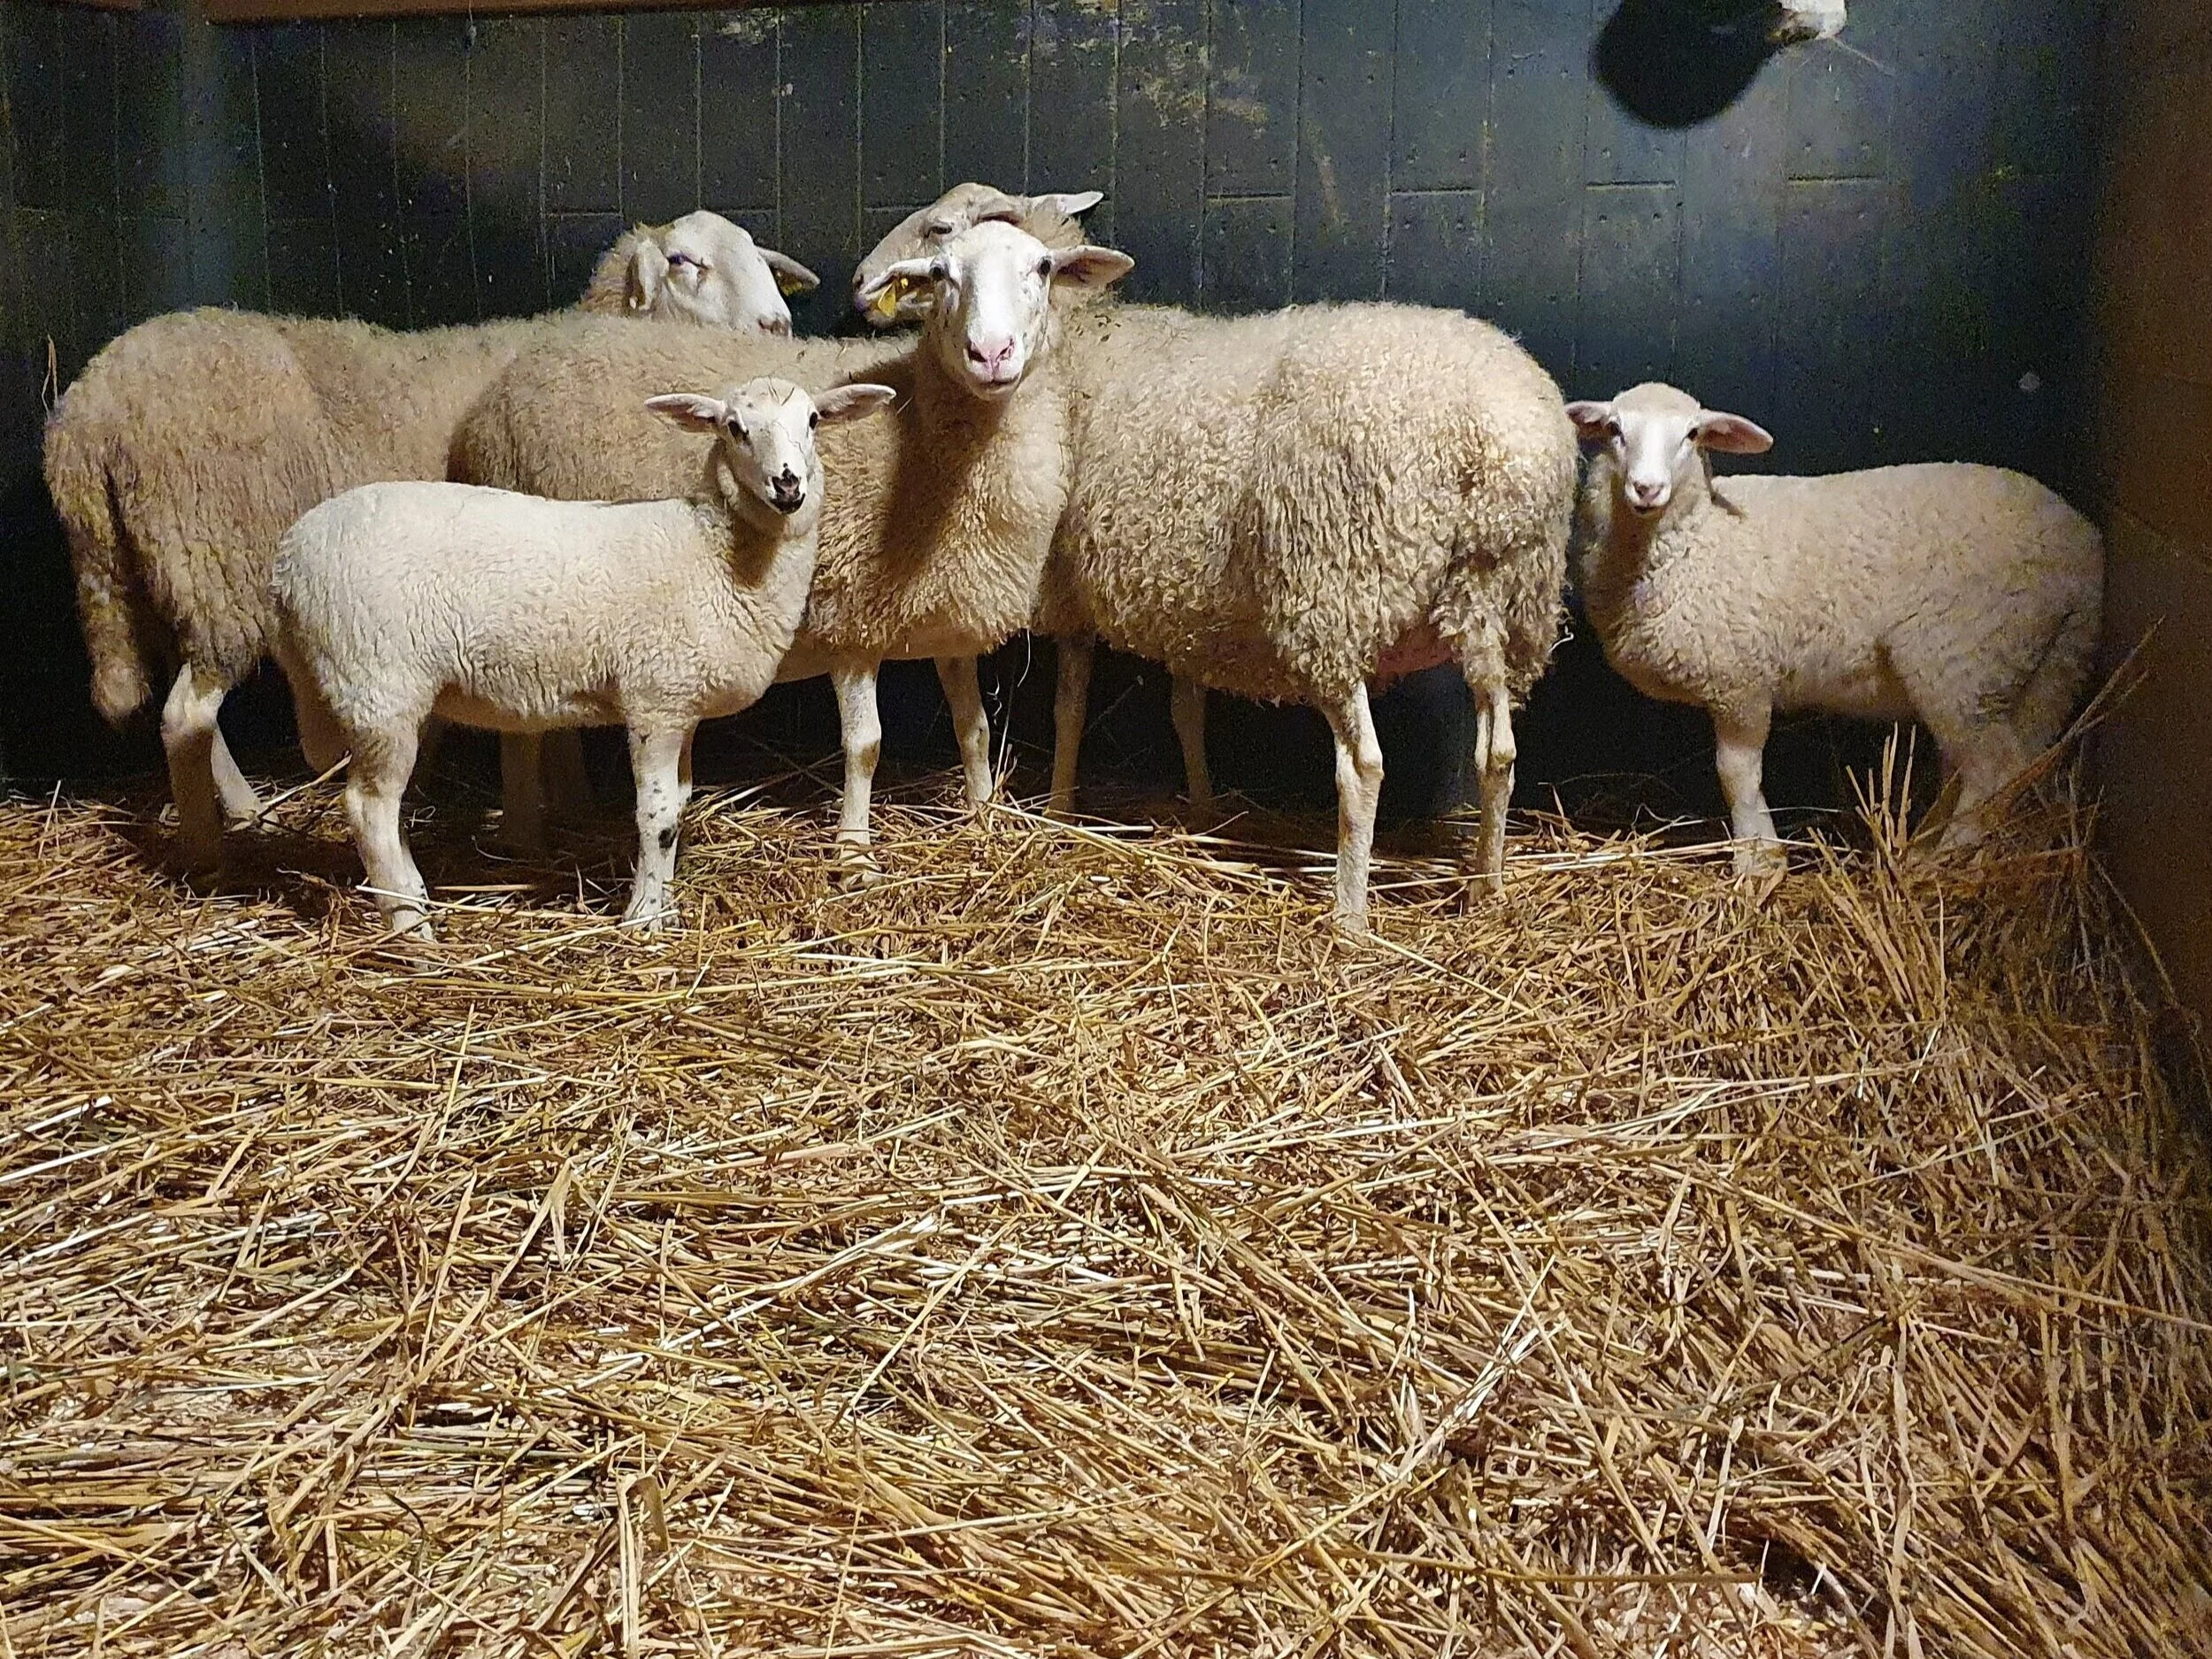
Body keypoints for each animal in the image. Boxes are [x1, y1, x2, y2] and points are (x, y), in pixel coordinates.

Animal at [46, 209, 818, 875]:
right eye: (686, 262)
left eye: (759, 256)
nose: (777, 324)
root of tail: (81, 417)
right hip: (219, 561)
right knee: (186, 714)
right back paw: (212, 848)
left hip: (165, 569)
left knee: (187, 711)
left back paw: (240, 808)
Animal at [274, 376, 895, 938]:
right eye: (734, 428)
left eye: (812, 421)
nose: (788, 485)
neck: (716, 551)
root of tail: (286, 562)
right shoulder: (653, 700)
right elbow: (657, 815)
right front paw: (642, 918)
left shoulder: (682, 702)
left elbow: (680, 804)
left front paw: (665, 905)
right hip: (377, 686)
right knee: (368, 810)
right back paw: (411, 930)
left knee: (386, 807)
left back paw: (417, 899)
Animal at [451, 218, 1134, 873]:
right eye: (941, 274)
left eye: (1042, 267)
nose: (990, 353)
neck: (921, 434)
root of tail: (523, 367)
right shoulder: (853, 619)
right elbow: (865, 747)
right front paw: (855, 854)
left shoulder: (941, 610)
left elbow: (975, 729)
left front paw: (985, 816)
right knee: (518, 734)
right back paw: (524, 839)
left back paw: (573, 808)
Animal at [1038, 300, 1579, 933]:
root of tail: (1500, 442)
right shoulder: (1190, 613)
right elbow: (1186, 712)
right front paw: (1202, 810)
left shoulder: (1071, 596)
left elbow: (1069, 710)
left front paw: (1057, 807)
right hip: (1501, 605)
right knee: (1498, 752)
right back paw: (1485, 887)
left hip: (1334, 602)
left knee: (1363, 767)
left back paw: (1350, 915)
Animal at [1564, 381, 2103, 877]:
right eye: (1614, 430)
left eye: (1692, 434)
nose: (1646, 488)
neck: (1700, 538)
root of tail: (2085, 549)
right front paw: (1764, 855)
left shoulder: (1742, 680)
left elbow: (1736, 774)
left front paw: (1757, 862)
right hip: (2046, 665)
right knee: (2000, 761)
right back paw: (1929, 842)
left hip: (1961, 657)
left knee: (1993, 770)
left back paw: (1946, 860)